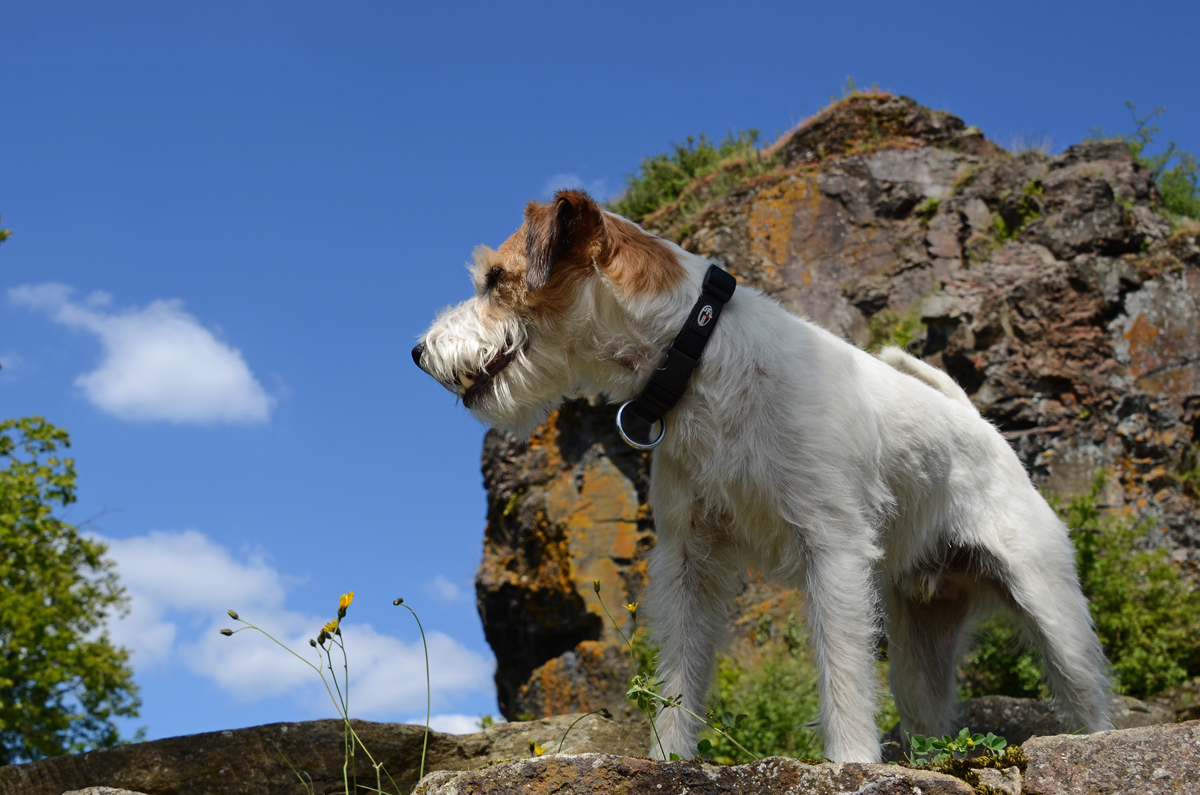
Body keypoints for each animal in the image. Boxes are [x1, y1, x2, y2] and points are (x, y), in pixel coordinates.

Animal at [412, 189, 1113, 763]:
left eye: (496, 280)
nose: (417, 352)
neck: (697, 354)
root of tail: (975, 421)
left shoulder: (832, 548)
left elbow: (843, 673)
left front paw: (851, 764)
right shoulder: (690, 559)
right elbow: (680, 673)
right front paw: (669, 758)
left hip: (1050, 608)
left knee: (1090, 699)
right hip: (923, 644)